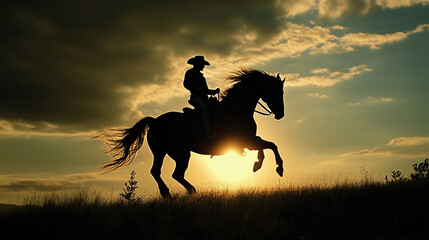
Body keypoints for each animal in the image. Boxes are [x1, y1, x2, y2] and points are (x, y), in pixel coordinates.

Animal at [96, 68, 284, 198]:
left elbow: (267, 146)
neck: (236, 110)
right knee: (170, 173)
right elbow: (271, 145)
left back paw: (174, 193)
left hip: (168, 153)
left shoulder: (250, 140)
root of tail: (155, 121)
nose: (281, 114)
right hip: (176, 153)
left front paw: (258, 164)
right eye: (276, 92)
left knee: (161, 172)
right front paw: (278, 168)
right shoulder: (245, 140)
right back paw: (182, 191)